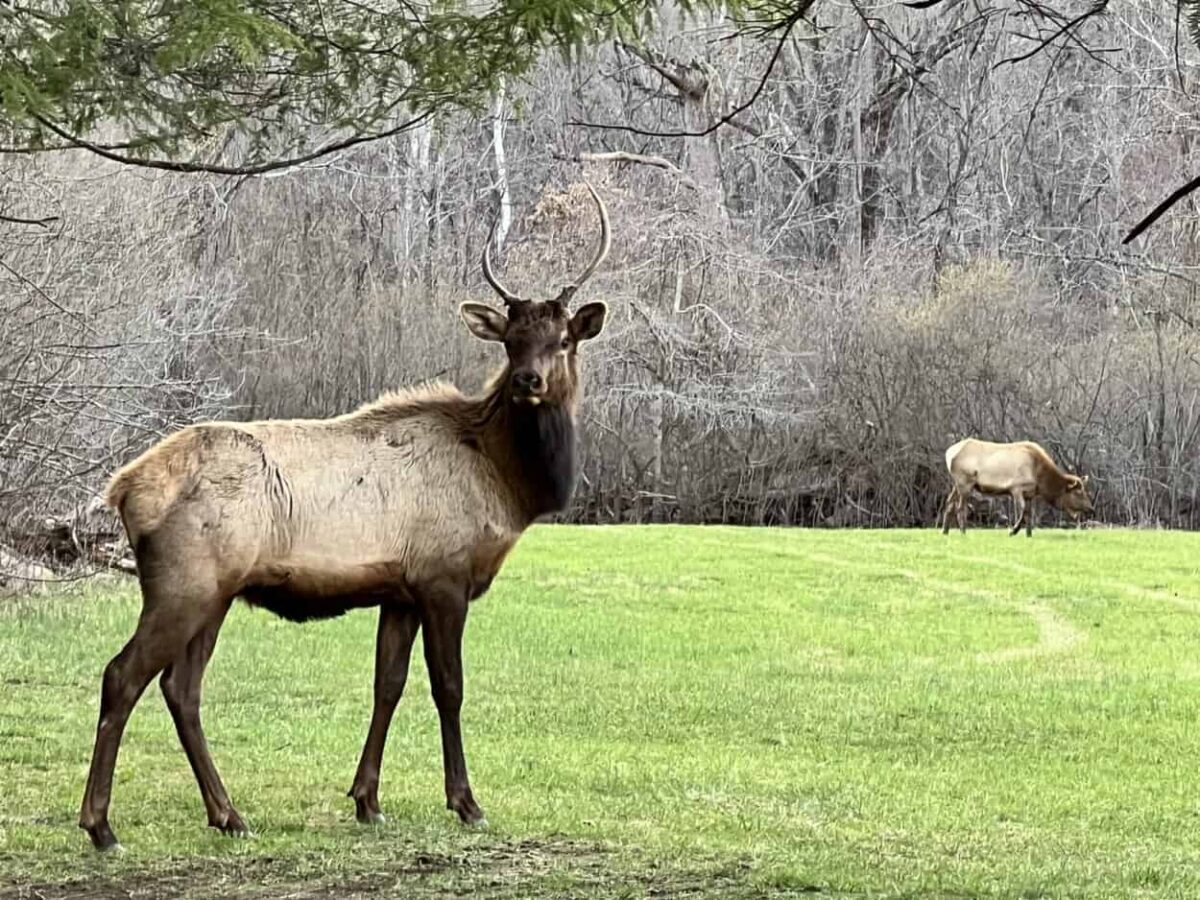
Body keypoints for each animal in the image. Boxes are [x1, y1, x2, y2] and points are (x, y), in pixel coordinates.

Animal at [79, 185, 612, 851]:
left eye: (563, 338)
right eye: (510, 339)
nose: (528, 380)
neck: (508, 483)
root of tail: (122, 490)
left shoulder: (400, 591)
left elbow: (388, 685)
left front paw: (367, 799)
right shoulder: (443, 578)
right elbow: (449, 687)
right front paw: (465, 802)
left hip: (215, 593)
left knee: (182, 688)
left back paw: (228, 814)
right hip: (183, 584)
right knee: (122, 676)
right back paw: (102, 826)